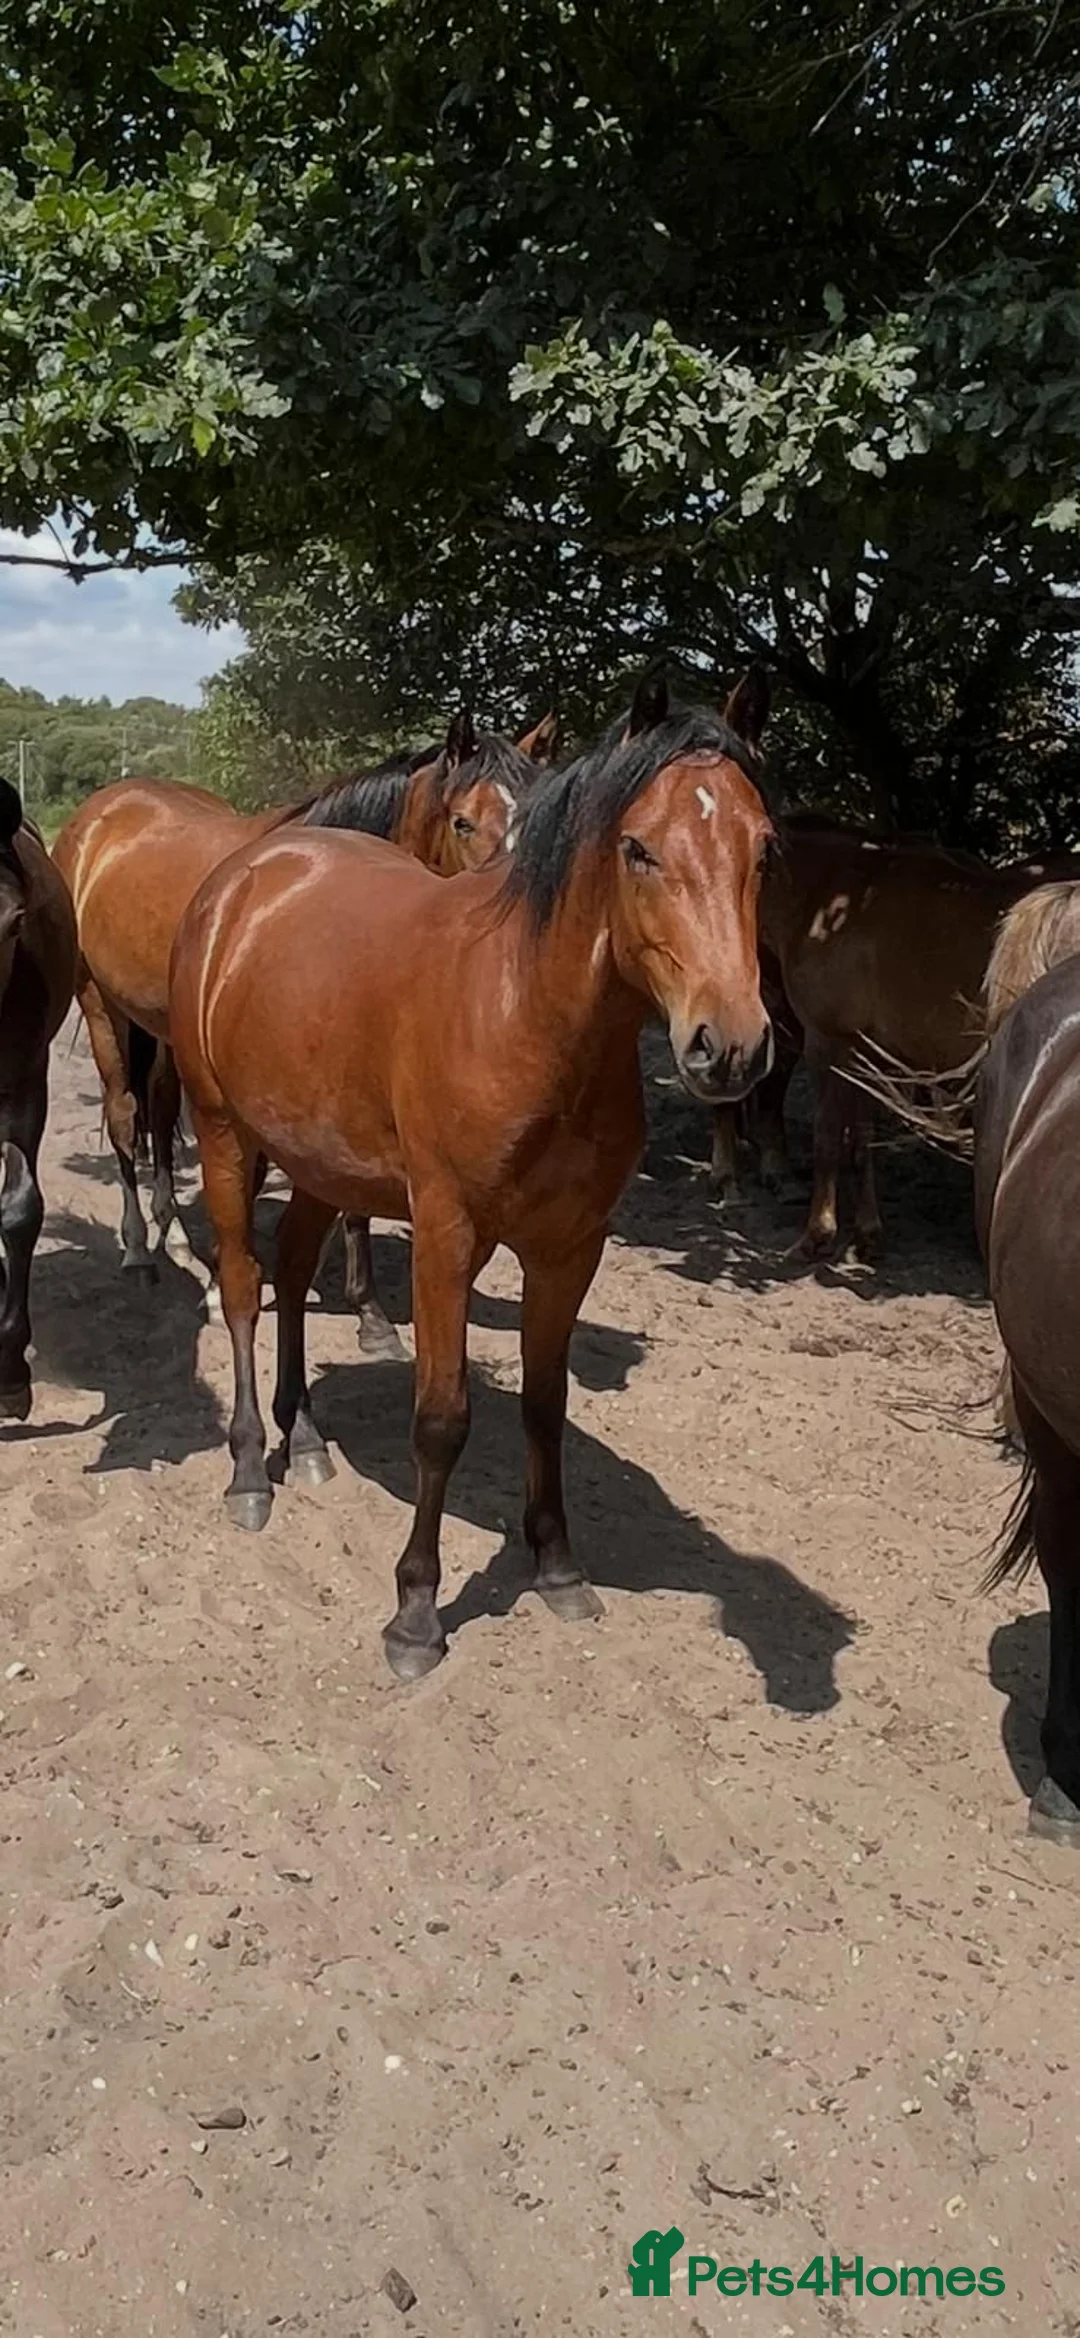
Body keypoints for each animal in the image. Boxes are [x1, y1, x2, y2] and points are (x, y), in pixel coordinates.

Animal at [52, 714, 555, 1344]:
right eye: (464, 820)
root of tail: (99, 813)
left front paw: (370, 1311)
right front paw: (224, 1285)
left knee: (161, 1113)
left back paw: (179, 1243)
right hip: (101, 1005)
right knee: (124, 1116)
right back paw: (141, 1250)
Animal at [168, 671, 774, 1679]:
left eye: (765, 848)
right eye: (639, 848)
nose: (728, 1047)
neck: (524, 1015)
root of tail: (247, 877)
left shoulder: (570, 1248)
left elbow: (544, 1402)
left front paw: (557, 1566)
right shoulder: (446, 1235)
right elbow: (442, 1417)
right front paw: (415, 1611)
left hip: (319, 1163)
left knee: (290, 1272)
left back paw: (307, 1439)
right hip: (223, 1136)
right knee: (246, 1286)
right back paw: (253, 1467)